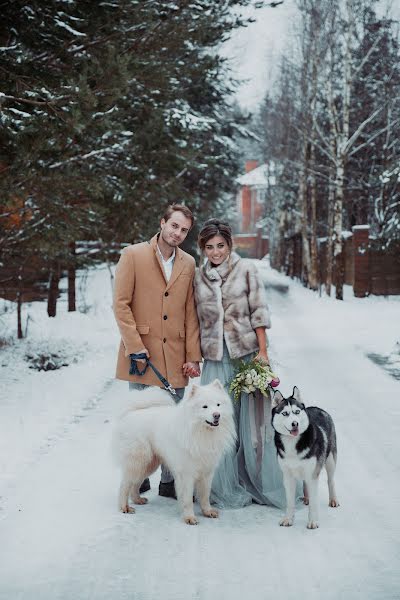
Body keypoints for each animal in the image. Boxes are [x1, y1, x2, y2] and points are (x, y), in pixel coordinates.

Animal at [111, 380, 236, 524]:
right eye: (205, 407)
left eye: (218, 405)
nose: (217, 415)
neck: (200, 431)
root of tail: (130, 412)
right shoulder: (186, 473)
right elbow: (187, 499)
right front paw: (189, 518)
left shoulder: (207, 472)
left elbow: (205, 495)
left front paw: (208, 512)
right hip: (138, 461)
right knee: (125, 485)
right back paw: (124, 507)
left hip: (148, 464)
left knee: (135, 484)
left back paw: (138, 500)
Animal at [270, 384, 340, 528]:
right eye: (285, 413)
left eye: (297, 412)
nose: (295, 423)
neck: (292, 443)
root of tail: (318, 408)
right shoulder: (288, 476)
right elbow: (290, 502)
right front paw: (288, 519)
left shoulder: (313, 474)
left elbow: (314, 502)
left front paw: (313, 521)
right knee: (305, 483)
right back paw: (306, 498)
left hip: (330, 460)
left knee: (330, 480)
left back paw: (333, 499)